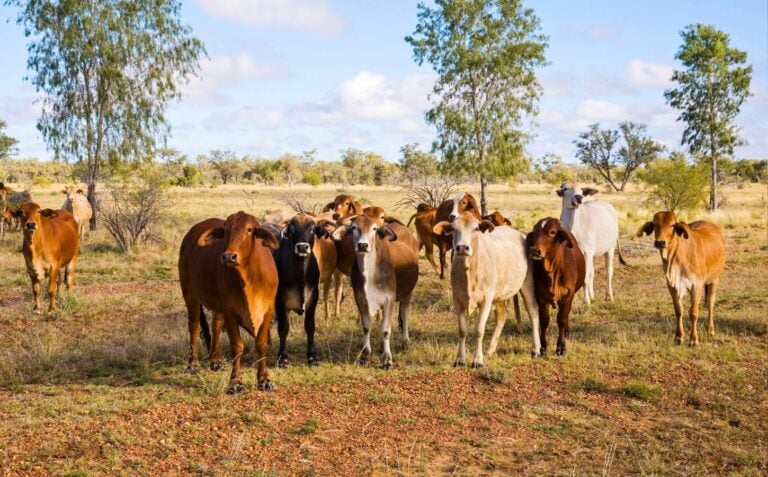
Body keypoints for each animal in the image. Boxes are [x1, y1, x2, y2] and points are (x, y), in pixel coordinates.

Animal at [178, 212, 280, 394]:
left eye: (249, 229)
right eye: (225, 231)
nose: (228, 256)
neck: (250, 280)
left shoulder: (268, 310)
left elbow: (261, 344)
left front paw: (264, 380)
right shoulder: (230, 312)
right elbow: (237, 346)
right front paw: (235, 382)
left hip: (217, 304)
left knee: (216, 325)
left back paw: (215, 360)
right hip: (189, 294)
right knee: (194, 326)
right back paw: (192, 364)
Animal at [332, 214, 420, 366]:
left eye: (374, 228)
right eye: (354, 227)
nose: (362, 245)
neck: (370, 272)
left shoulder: (389, 300)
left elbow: (385, 329)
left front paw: (387, 360)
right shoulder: (361, 299)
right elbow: (367, 326)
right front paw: (365, 355)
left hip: (408, 293)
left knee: (404, 315)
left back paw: (405, 343)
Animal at [432, 210, 540, 366]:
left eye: (476, 228)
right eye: (453, 229)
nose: (462, 248)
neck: (470, 272)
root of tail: (521, 234)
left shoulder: (486, 300)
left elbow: (479, 330)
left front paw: (478, 360)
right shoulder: (457, 300)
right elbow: (462, 330)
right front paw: (460, 359)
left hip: (527, 285)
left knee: (533, 312)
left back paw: (536, 349)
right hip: (499, 294)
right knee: (502, 316)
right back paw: (490, 350)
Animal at [524, 218, 584, 356]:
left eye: (552, 232)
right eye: (535, 230)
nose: (534, 250)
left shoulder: (568, 295)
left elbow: (562, 319)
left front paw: (561, 347)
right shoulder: (541, 298)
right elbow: (544, 321)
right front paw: (543, 347)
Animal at [636, 210, 728, 344]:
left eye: (672, 225)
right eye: (655, 224)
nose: (660, 242)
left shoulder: (697, 285)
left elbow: (693, 312)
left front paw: (693, 339)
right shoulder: (672, 286)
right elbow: (679, 311)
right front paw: (679, 337)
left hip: (714, 279)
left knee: (710, 303)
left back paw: (710, 330)